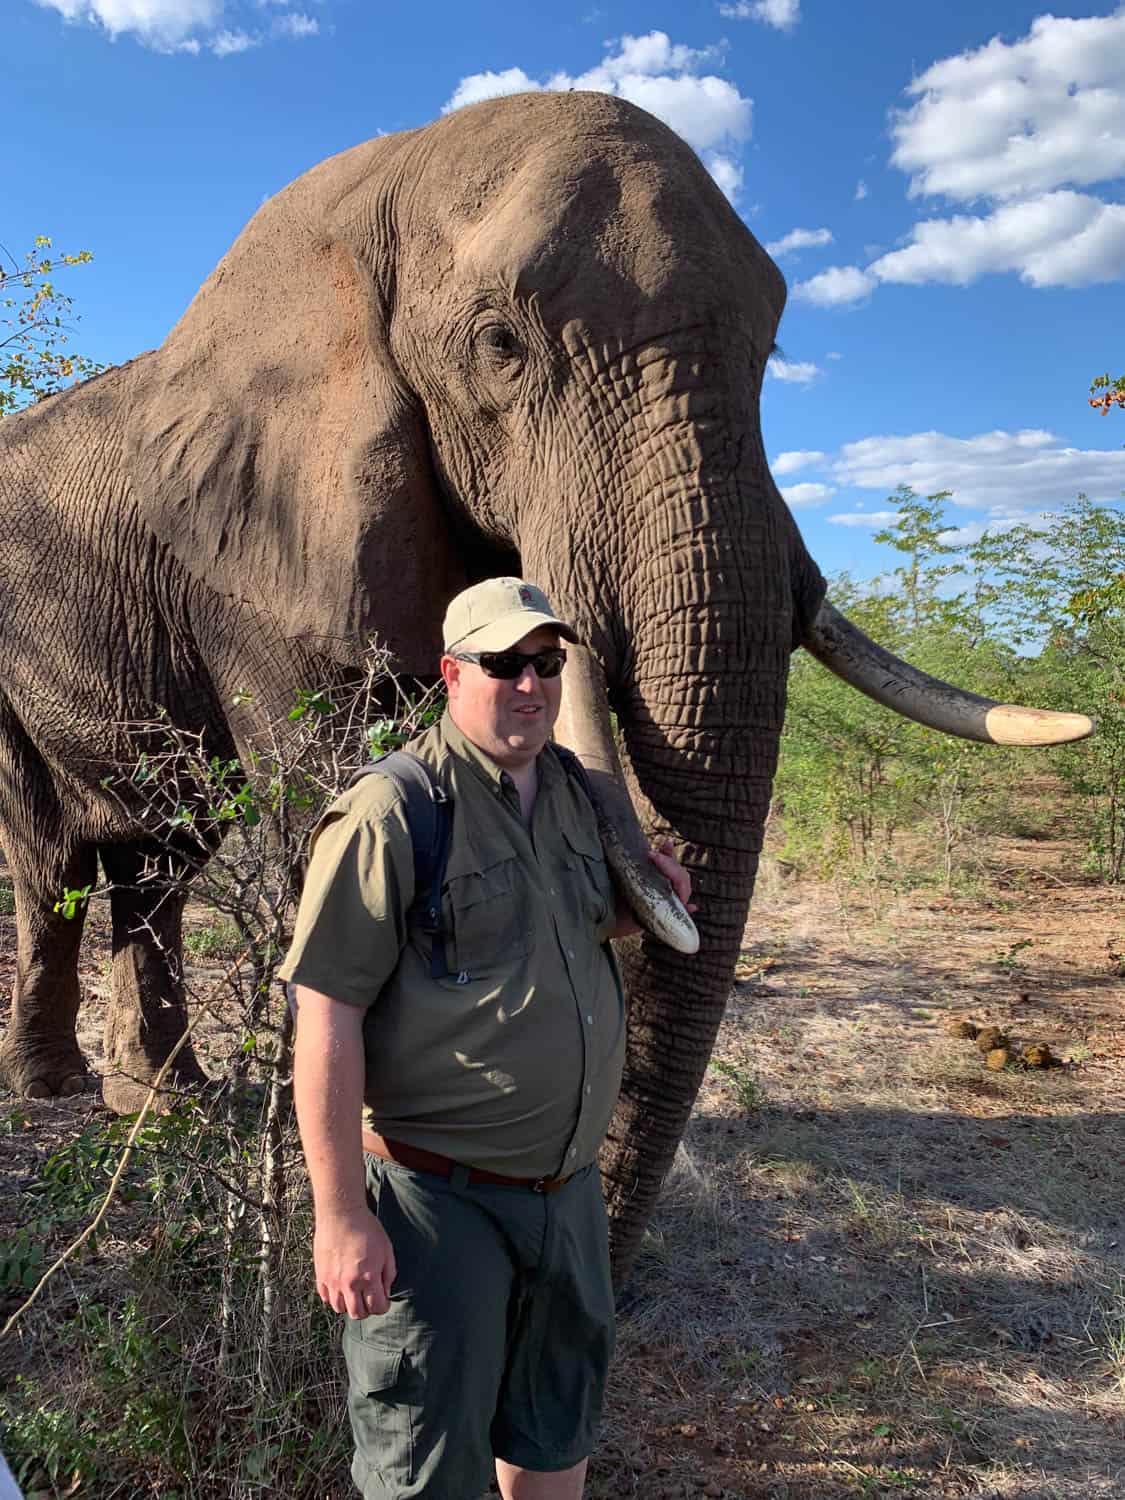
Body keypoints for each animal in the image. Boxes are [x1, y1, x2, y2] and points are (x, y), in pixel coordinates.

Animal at [0, 91, 1091, 1280]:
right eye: (500, 347)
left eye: (770, 349)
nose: (611, 1263)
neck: (369, 187)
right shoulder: (254, 555)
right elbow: (323, 808)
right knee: (52, 854)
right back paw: (53, 1091)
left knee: (163, 854)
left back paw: (164, 1103)